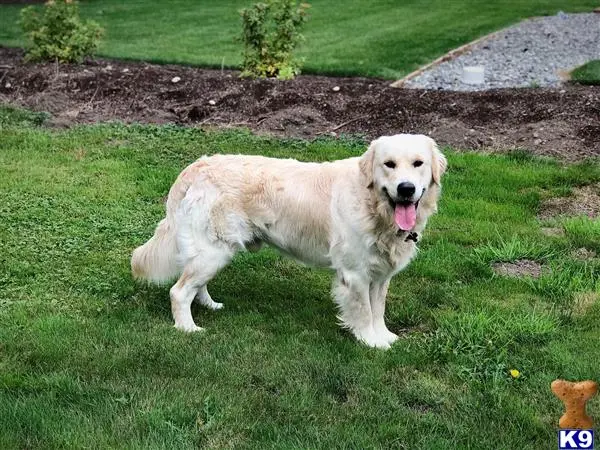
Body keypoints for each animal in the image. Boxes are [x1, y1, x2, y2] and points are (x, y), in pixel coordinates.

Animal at [131, 134, 446, 348]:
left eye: (418, 164)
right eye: (388, 165)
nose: (406, 189)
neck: (374, 206)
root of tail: (195, 167)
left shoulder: (380, 275)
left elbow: (378, 309)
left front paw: (385, 336)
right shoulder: (355, 273)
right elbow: (364, 311)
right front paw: (371, 341)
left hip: (213, 252)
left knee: (195, 285)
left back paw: (210, 305)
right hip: (213, 251)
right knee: (179, 291)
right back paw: (188, 328)